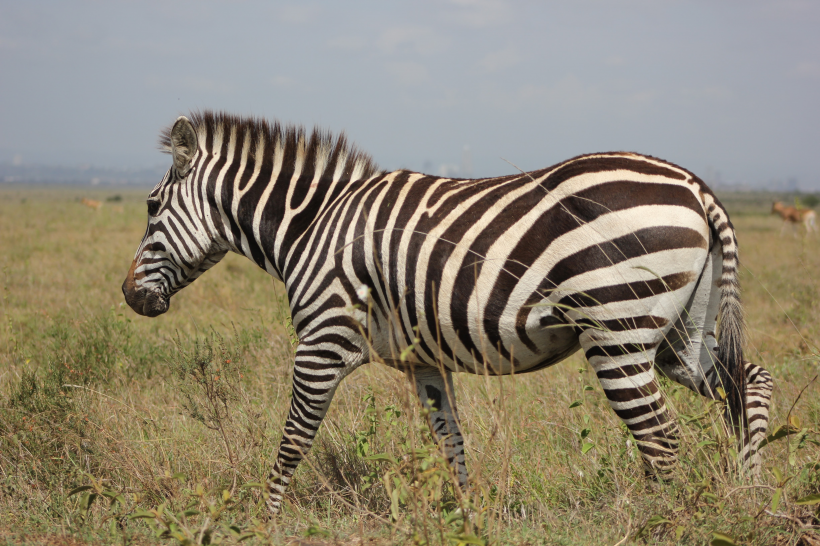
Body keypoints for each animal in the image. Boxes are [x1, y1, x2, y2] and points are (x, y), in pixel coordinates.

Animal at [123, 111, 776, 516]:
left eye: (152, 207)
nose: (130, 297)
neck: (313, 225)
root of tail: (695, 187)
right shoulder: (424, 361)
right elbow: (451, 443)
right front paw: (467, 517)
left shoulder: (323, 338)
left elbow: (293, 439)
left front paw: (265, 518)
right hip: (678, 332)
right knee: (750, 383)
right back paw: (749, 492)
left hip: (617, 332)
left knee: (662, 439)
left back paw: (656, 518)